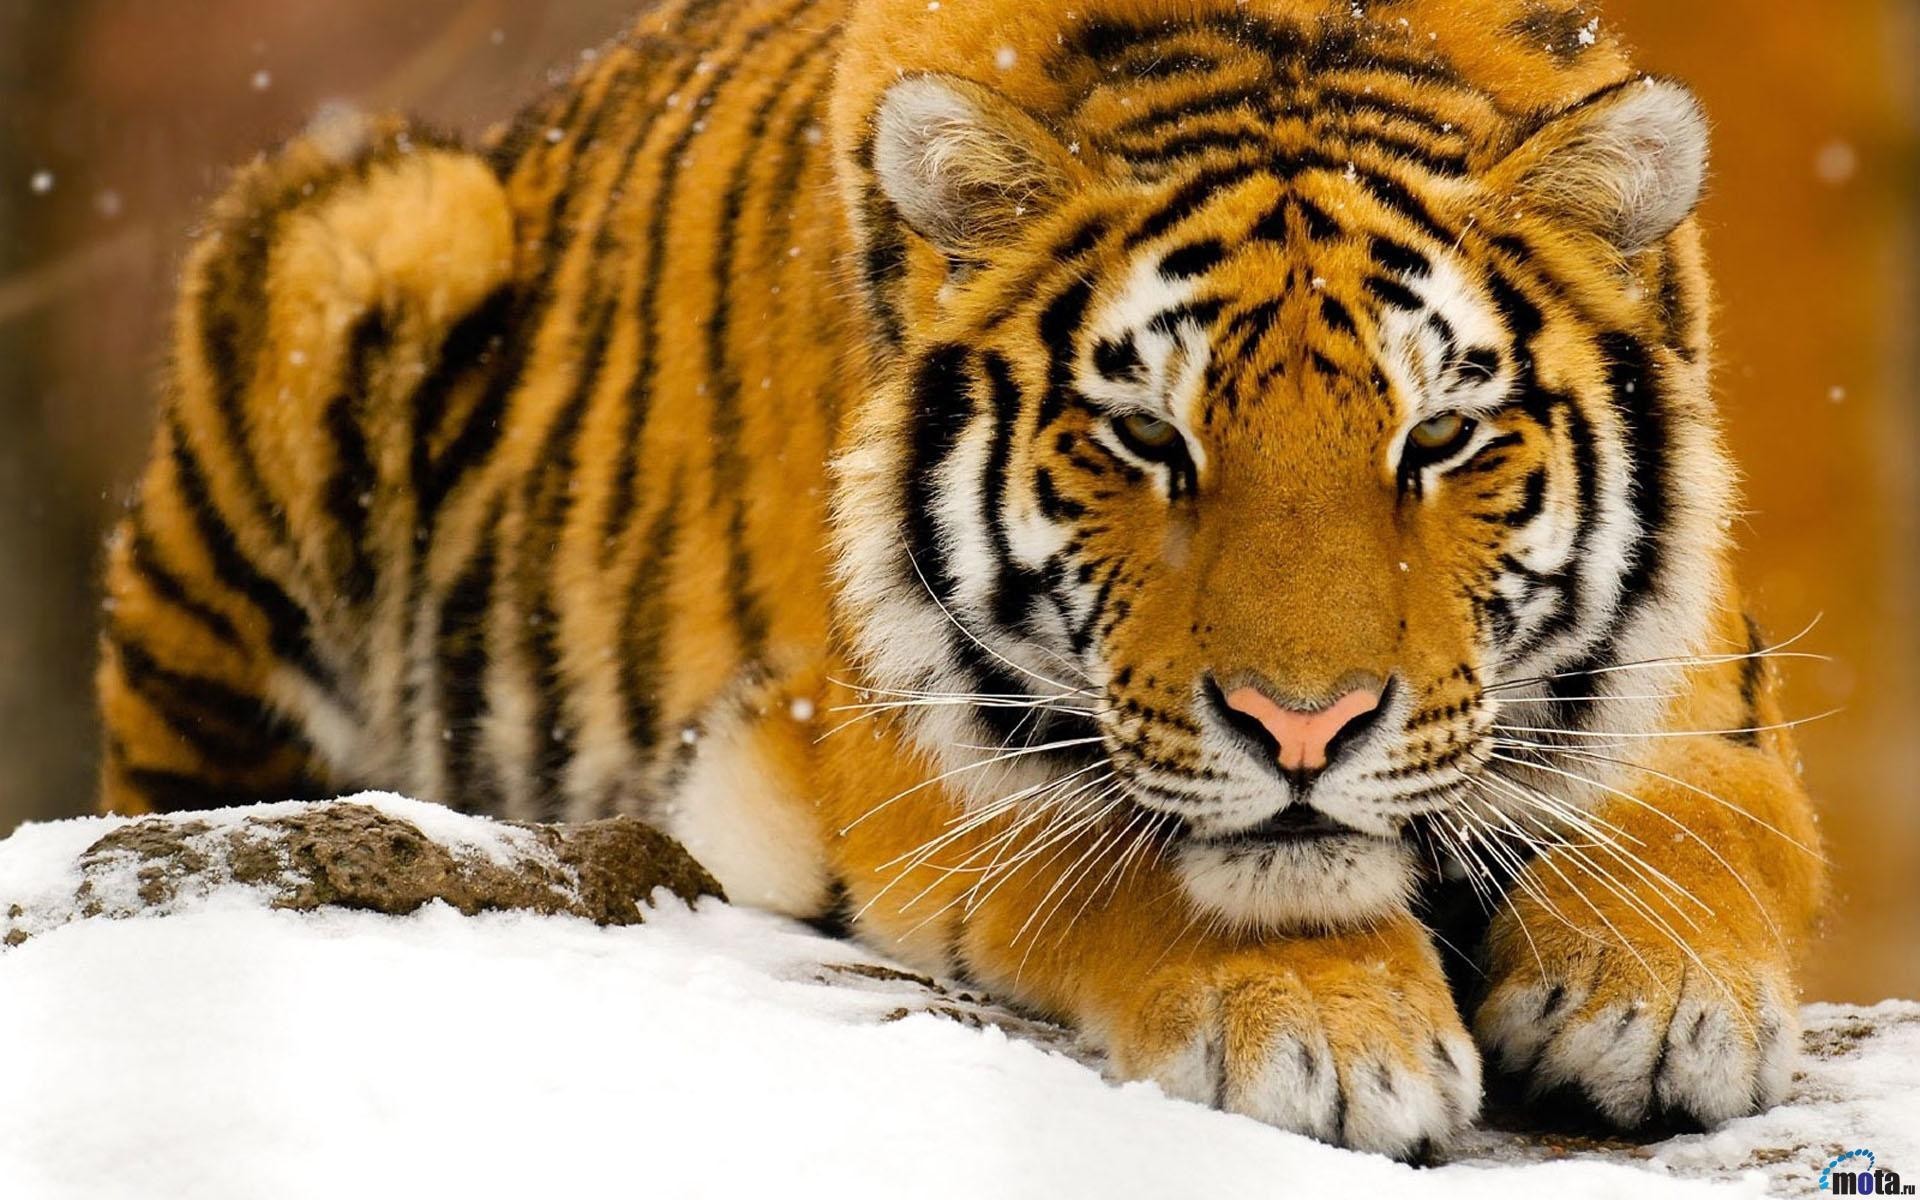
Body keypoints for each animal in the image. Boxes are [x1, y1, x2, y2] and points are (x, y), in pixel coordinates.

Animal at [96, 0, 1827, 1157]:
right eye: (1147, 438)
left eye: (1441, 437)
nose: (1304, 728)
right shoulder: (890, 737)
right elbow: (1128, 855)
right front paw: (1329, 1036)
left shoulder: (1701, 678)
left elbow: (1705, 820)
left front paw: (1660, 995)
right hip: (366, 232)